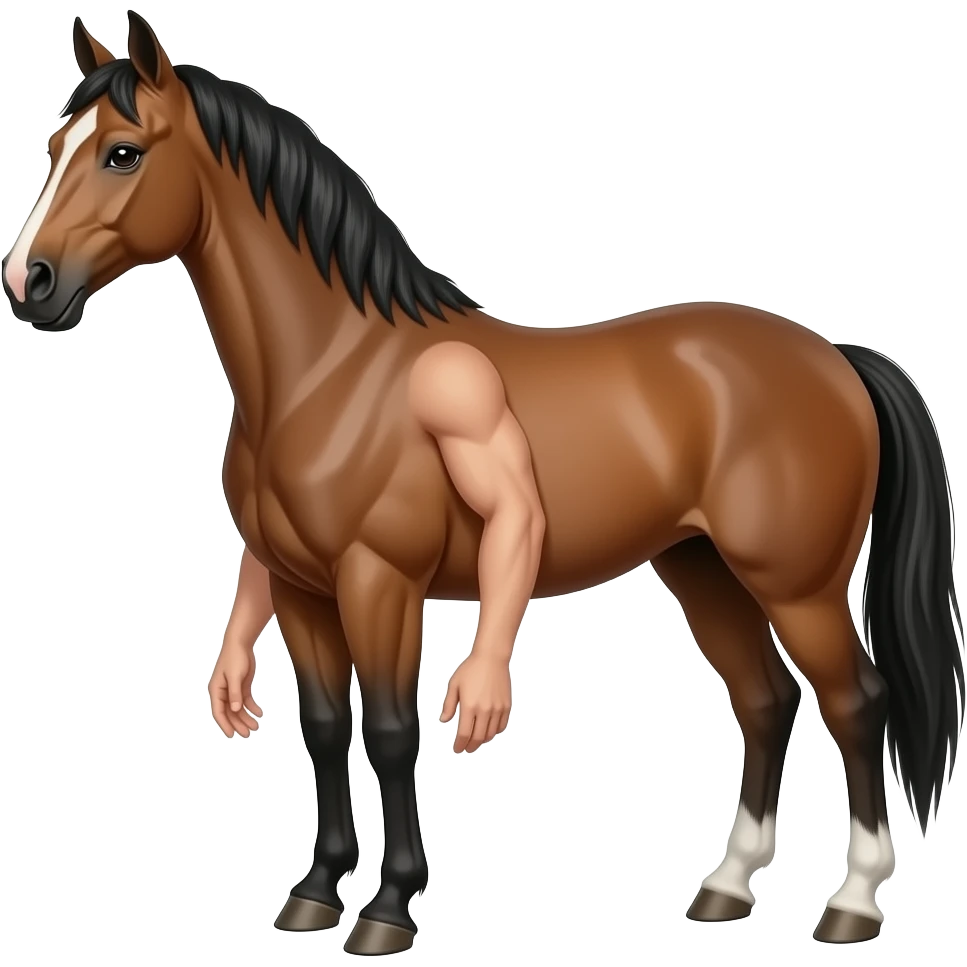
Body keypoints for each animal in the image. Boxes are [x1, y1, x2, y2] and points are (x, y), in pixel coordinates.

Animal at [3, 12, 963, 954]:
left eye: (122, 152)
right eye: (53, 145)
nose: (28, 283)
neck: (329, 370)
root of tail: (833, 358)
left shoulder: (379, 581)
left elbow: (390, 733)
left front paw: (388, 907)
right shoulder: (302, 588)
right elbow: (323, 728)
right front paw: (314, 891)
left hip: (795, 585)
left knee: (854, 702)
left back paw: (852, 900)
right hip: (702, 570)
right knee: (765, 700)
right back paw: (726, 886)